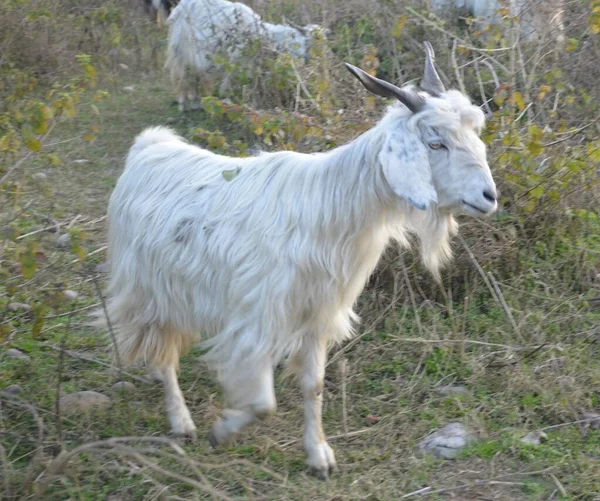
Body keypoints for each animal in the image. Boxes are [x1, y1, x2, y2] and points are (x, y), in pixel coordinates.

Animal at [98, 42, 500, 476]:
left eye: (473, 134)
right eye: (435, 143)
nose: (489, 196)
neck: (332, 206)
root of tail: (150, 146)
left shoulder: (318, 314)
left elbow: (314, 384)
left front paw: (318, 454)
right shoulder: (258, 315)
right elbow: (263, 403)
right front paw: (222, 431)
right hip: (148, 289)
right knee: (163, 356)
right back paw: (182, 422)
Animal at [164, 0, 322, 111]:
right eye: (293, 48)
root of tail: (178, 8)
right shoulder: (239, 64)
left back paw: (195, 102)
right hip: (182, 52)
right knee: (184, 76)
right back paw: (184, 104)